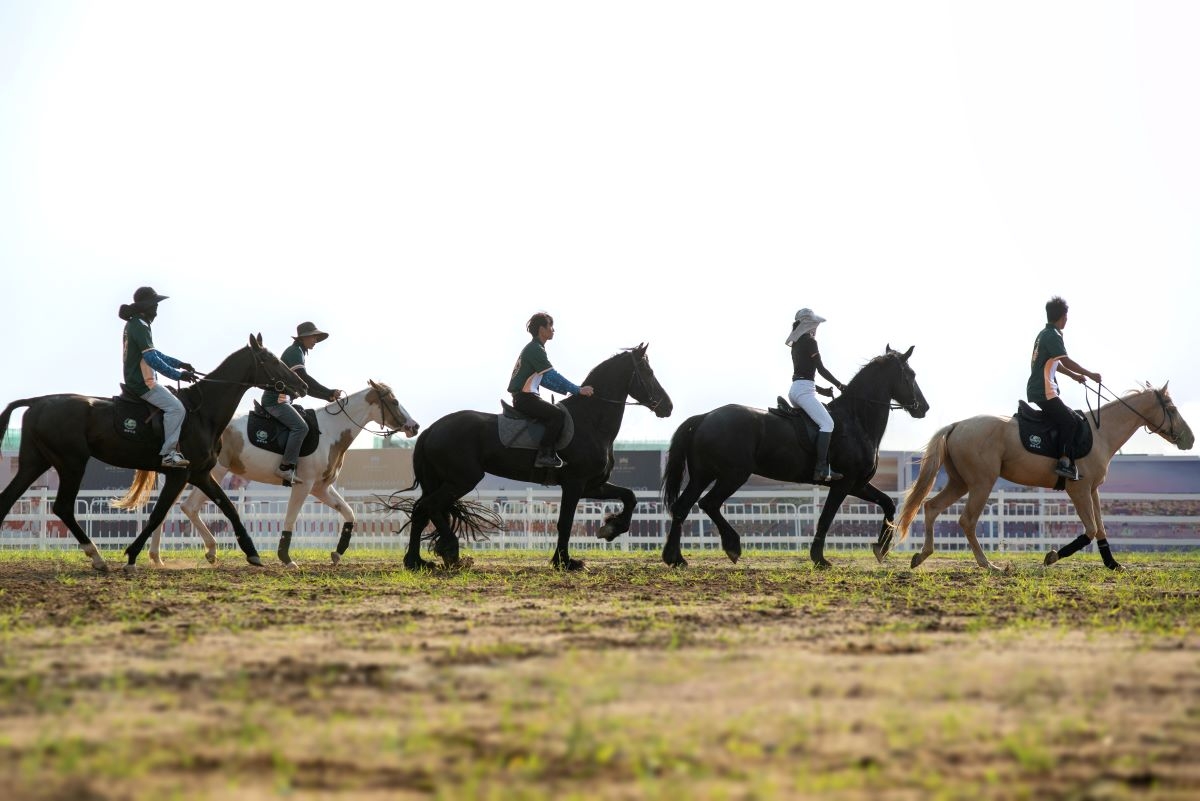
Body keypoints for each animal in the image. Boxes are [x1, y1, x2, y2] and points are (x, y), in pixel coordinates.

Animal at [0, 335, 307, 573]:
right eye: (270, 360)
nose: (301, 386)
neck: (201, 414)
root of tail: (38, 402)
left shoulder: (200, 474)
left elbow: (229, 507)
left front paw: (251, 552)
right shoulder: (178, 475)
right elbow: (157, 514)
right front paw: (132, 555)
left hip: (34, 463)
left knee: (7, 500)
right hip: (71, 464)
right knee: (63, 507)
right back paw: (97, 556)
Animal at [137, 378, 420, 565]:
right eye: (394, 401)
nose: (414, 426)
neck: (330, 431)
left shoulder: (322, 489)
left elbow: (349, 514)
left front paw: (338, 552)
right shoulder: (303, 486)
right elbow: (290, 519)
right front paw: (285, 558)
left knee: (175, 509)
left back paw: (164, 556)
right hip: (210, 473)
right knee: (184, 507)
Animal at [396, 345, 672, 568]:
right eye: (648, 371)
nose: (668, 407)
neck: (591, 421)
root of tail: (432, 429)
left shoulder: (592, 485)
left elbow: (630, 496)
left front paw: (612, 528)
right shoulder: (574, 484)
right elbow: (565, 522)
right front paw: (565, 561)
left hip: (442, 481)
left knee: (421, 511)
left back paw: (416, 561)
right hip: (461, 480)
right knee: (430, 507)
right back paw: (450, 552)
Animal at [657, 345, 926, 568]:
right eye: (911, 374)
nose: (924, 407)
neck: (856, 419)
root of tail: (705, 416)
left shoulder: (857, 484)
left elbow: (888, 503)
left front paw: (881, 548)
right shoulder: (844, 483)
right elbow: (826, 518)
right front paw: (819, 559)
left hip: (702, 476)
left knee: (682, 507)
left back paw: (675, 558)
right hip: (732, 476)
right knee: (708, 503)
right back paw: (731, 546)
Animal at [892, 383, 1190, 573]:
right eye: (1172, 408)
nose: (1190, 439)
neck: (1100, 433)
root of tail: (957, 425)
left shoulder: (1092, 490)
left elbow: (1101, 529)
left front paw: (1113, 564)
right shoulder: (1079, 490)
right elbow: (1090, 530)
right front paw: (1052, 556)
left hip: (960, 483)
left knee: (931, 507)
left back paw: (922, 555)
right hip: (981, 484)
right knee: (967, 521)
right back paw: (990, 565)